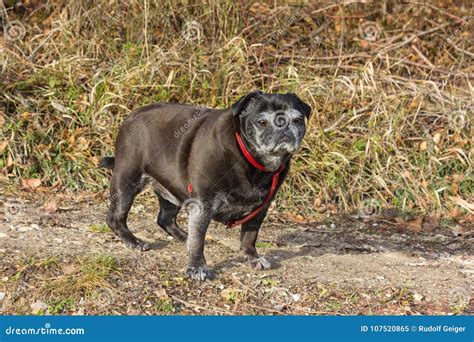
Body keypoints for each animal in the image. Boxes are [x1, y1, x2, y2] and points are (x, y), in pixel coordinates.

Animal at [100, 91, 312, 280]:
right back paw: (133, 241)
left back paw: (183, 237)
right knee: (115, 218)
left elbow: (249, 236)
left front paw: (252, 257)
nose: (284, 129)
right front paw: (197, 267)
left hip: (172, 190)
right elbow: (198, 240)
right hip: (127, 182)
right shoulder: (202, 205)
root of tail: (132, 116)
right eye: (261, 122)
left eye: (297, 120)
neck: (251, 161)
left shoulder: (260, 209)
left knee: (165, 219)